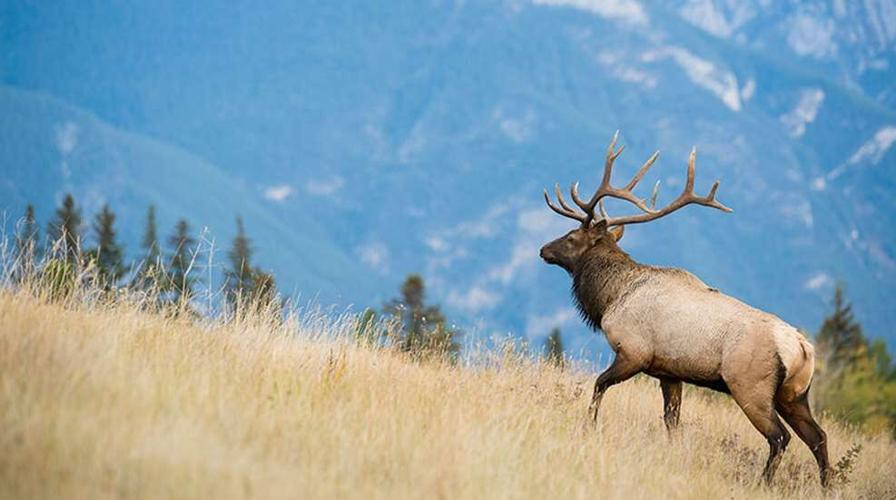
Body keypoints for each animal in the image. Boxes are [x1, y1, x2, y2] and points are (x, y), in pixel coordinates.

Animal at [539, 132, 830, 487]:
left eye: (570, 237)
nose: (543, 250)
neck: (610, 297)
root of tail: (802, 348)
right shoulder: (670, 372)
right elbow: (672, 421)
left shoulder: (633, 352)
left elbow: (598, 385)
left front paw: (589, 427)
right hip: (795, 394)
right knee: (818, 437)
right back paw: (828, 486)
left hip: (750, 386)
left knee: (780, 437)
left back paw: (764, 482)